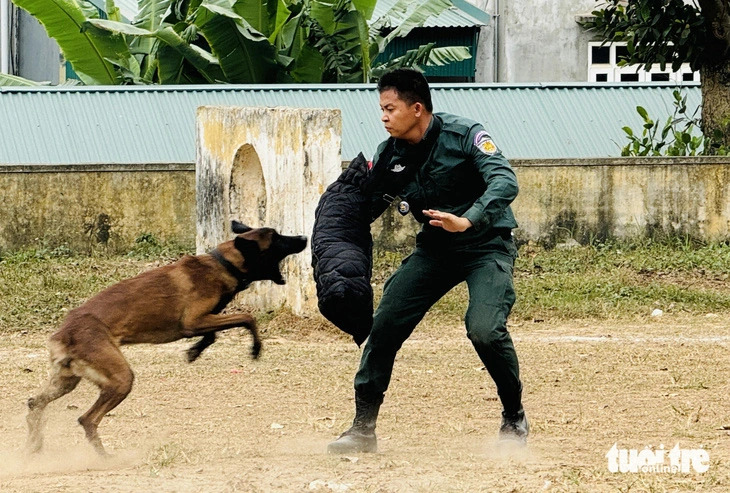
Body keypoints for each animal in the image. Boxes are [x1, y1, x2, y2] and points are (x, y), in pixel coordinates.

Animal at [27, 221, 306, 456]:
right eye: (277, 238)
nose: (303, 237)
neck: (222, 264)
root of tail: (63, 334)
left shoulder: (200, 321)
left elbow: (213, 334)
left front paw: (194, 351)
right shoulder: (194, 321)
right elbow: (247, 318)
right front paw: (255, 349)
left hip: (67, 380)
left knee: (33, 404)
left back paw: (35, 446)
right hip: (120, 379)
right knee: (87, 419)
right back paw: (103, 457)